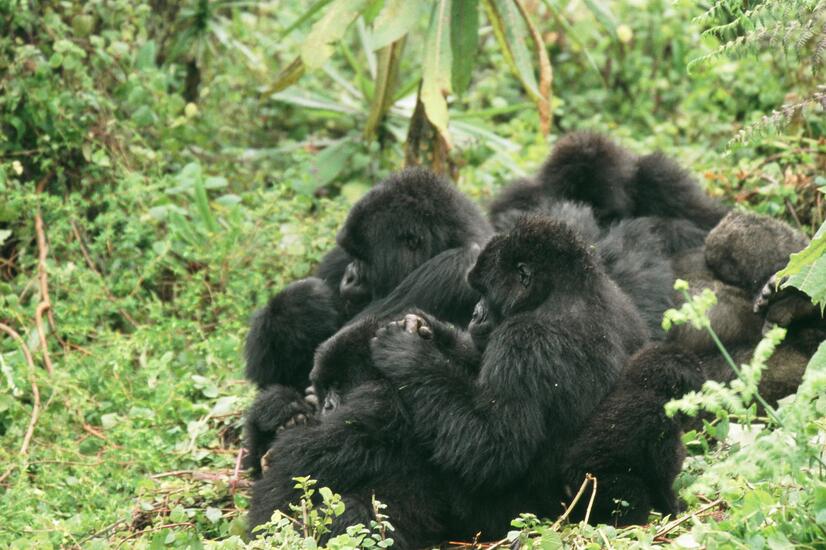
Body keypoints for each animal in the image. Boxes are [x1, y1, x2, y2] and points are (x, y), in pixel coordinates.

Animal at [560, 342, 700, 528]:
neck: (646, 387)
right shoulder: (660, 419)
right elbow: (660, 476)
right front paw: (675, 510)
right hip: (597, 484)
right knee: (634, 493)